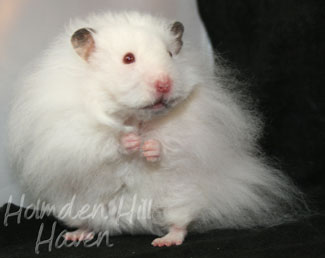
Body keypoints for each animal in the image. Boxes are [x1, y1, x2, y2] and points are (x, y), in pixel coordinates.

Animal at [8, 11, 306, 246]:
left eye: (170, 54)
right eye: (128, 58)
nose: (165, 84)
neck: (136, 116)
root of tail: (132, 224)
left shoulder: (193, 131)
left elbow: (172, 142)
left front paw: (149, 146)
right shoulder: (73, 134)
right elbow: (103, 141)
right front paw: (129, 142)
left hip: (181, 197)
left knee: (180, 222)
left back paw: (165, 241)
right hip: (77, 205)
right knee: (88, 222)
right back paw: (76, 235)